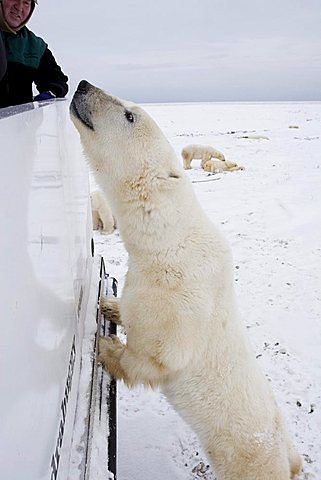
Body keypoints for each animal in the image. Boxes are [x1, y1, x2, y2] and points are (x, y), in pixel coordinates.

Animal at [70, 79, 300, 480]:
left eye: (129, 114)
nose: (82, 84)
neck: (168, 243)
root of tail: (287, 462)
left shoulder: (176, 302)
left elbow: (154, 358)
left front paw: (107, 347)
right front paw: (111, 305)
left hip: (247, 459)